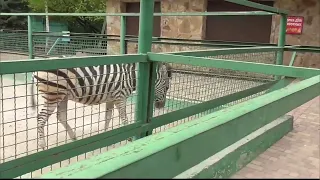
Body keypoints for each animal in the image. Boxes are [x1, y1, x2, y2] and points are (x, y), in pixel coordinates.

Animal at [30, 61, 172, 150]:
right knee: (41, 117)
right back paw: (42, 145)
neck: (133, 76)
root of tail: (34, 72)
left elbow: (108, 117)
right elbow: (124, 118)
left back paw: (73, 137)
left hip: (63, 96)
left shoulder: (111, 99)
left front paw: (105, 135)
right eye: (167, 88)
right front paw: (129, 137)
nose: (161, 106)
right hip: (53, 96)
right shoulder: (120, 97)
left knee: (61, 116)